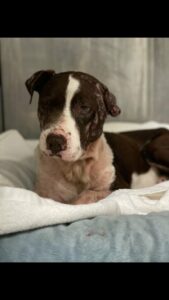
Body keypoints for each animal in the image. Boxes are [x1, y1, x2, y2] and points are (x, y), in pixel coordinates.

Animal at [24, 70, 169, 204]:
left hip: (153, 148)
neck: (75, 167)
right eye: (46, 103)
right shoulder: (45, 192)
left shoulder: (119, 188)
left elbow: (87, 195)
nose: (55, 141)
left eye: (84, 107)